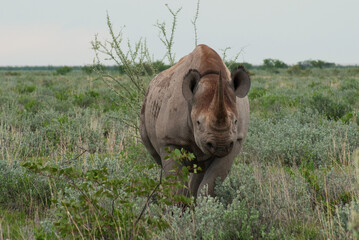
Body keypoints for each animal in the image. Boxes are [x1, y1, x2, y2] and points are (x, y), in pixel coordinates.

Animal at [140, 44, 250, 197]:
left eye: (235, 121)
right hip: (147, 103)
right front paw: (178, 202)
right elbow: (176, 184)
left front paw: (205, 202)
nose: (220, 145)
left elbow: (211, 183)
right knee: (157, 158)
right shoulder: (169, 139)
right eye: (198, 122)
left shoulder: (236, 140)